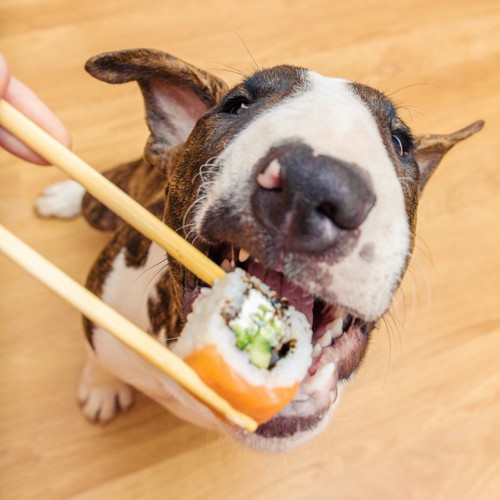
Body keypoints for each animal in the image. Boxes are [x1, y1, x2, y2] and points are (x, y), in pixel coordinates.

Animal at [37, 48, 482, 452]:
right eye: (236, 105)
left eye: (400, 142)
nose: (310, 183)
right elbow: (97, 351)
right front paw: (101, 388)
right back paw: (63, 192)